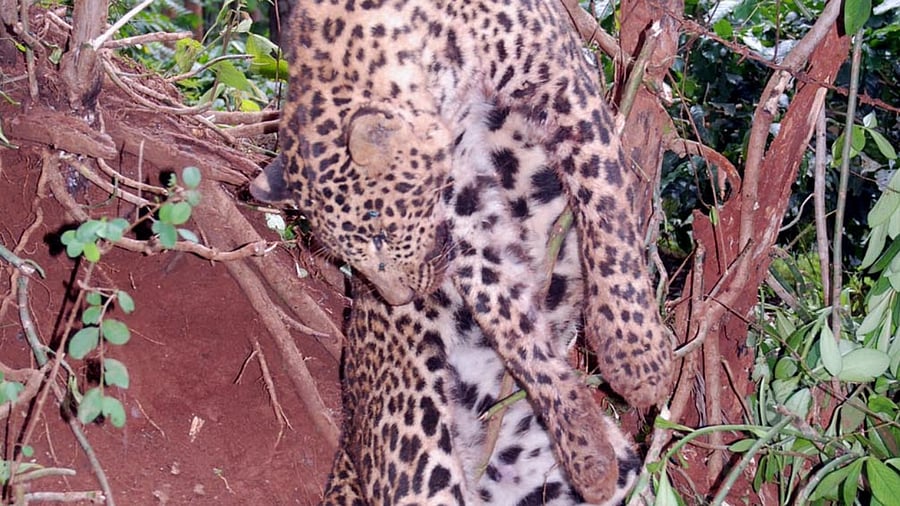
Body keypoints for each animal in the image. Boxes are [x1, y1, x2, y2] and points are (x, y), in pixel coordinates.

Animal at [250, 0, 674, 503]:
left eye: (380, 234)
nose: (399, 299)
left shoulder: (563, 78)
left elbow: (605, 204)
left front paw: (637, 357)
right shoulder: (463, 203)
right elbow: (508, 316)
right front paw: (584, 446)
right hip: (418, 443)